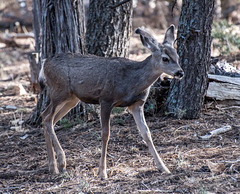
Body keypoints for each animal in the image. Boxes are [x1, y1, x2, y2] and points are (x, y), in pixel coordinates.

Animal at [39, 24, 184, 179]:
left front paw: (163, 167)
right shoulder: (106, 99)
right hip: (59, 91)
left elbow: (146, 133)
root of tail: (44, 63)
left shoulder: (136, 104)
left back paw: (53, 167)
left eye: (177, 56)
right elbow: (105, 134)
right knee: (47, 118)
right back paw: (61, 162)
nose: (180, 72)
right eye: (165, 58)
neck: (132, 81)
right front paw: (102, 172)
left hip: (71, 99)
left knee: (47, 118)